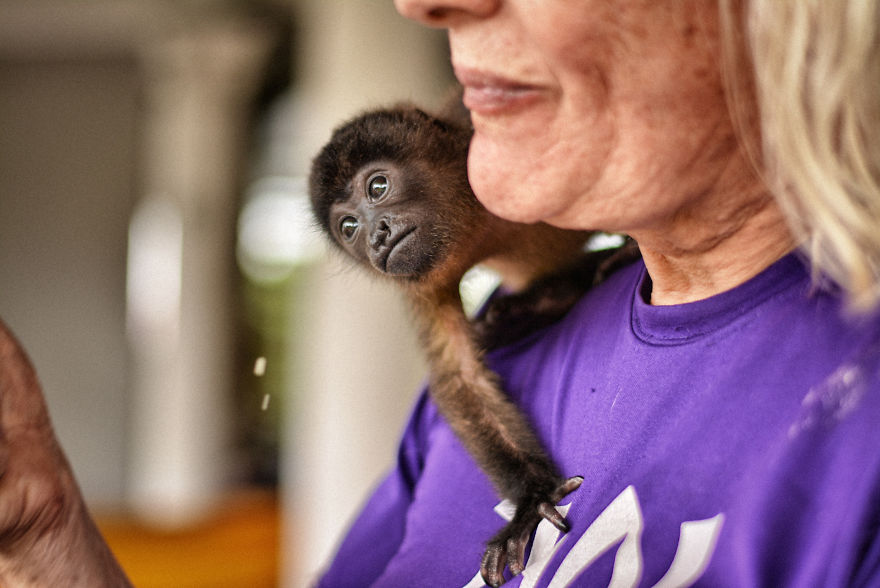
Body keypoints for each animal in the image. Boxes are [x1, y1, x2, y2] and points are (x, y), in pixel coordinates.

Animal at [308, 95, 638, 586]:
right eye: (348, 227)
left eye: (378, 186)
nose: (375, 236)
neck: (473, 225)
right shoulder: (420, 283)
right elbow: (458, 376)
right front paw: (531, 499)